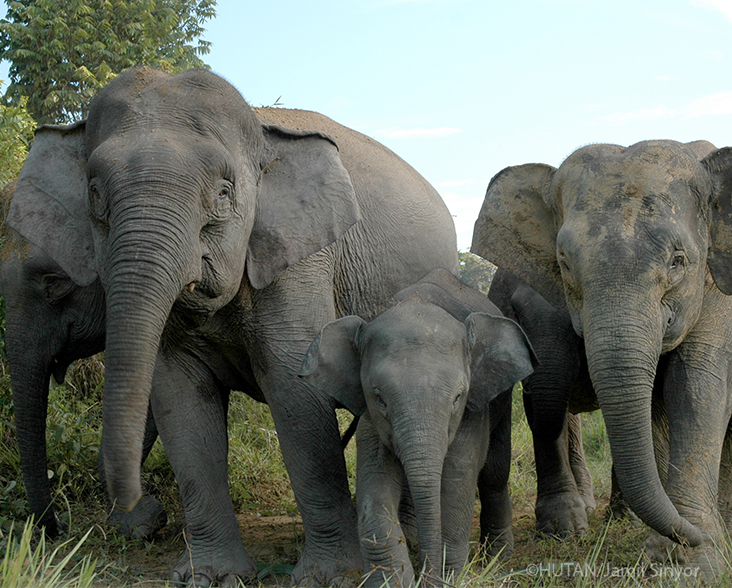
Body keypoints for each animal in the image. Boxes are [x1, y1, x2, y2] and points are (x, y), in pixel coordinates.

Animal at [300, 268, 536, 588]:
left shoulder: (472, 410)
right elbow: (375, 483)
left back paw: (497, 558)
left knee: (495, 472)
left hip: (500, 397)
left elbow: (458, 478)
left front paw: (449, 577)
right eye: (380, 398)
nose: (429, 575)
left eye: (458, 397)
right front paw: (391, 581)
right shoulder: (371, 418)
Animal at [468, 139, 732, 576]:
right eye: (564, 264)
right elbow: (550, 399)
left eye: (678, 262)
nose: (690, 535)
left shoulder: (715, 289)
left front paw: (689, 559)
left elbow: (695, 390)